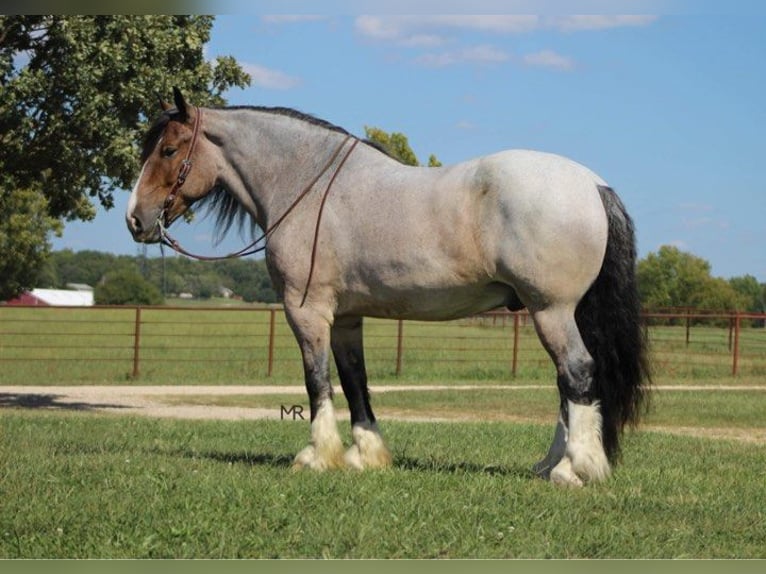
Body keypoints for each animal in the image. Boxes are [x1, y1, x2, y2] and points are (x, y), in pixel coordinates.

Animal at [129, 88, 652, 488]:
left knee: (577, 373)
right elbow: (355, 380)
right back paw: (549, 464)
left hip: (551, 310)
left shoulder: (306, 311)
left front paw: (317, 456)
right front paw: (366, 454)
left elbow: (317, 380)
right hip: (562, 313)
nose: (136, 220)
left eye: (169, 150)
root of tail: (592, 185)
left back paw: (573, 470)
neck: (305, 185)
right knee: (567, 383)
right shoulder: (345, 317)